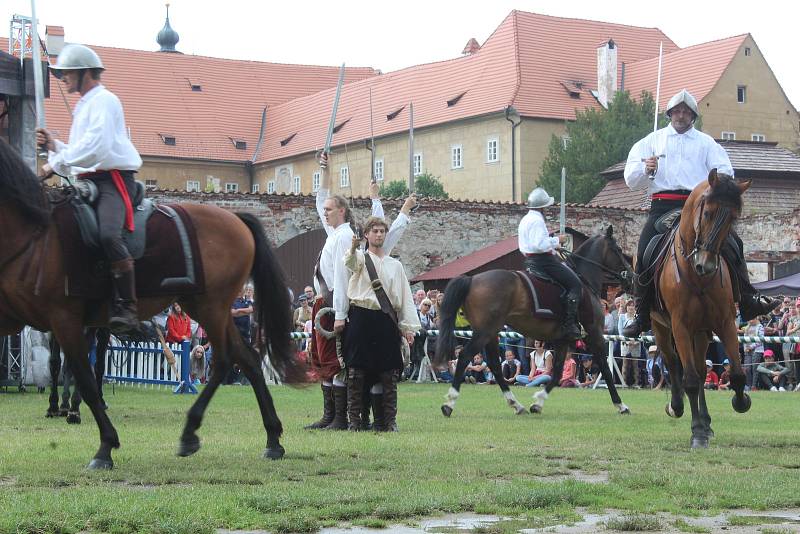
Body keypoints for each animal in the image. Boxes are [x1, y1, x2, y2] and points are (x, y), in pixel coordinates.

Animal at [0, 140, 300, 472]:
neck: (35, 236)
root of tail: (236, 220)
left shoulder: (66, 320)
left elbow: (86, 378)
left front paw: (104, 445)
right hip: (211, 309)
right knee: (247, 358)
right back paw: (272, 439)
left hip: (210, 307)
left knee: (223, 360)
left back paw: (191, 432)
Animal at [434, 226, 636, 418]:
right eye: (618, 250)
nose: (632, 277)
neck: (584, 280)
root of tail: (472, 279)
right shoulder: (594, 335)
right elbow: (606, 370)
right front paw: (621, 405)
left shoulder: (562, 340)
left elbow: (556, 373)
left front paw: (538, 403)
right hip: (485, 332)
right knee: (464, 357)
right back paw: (449, 403)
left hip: (490, 333)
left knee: (495, 366)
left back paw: (516, 405)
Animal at [648, 170, 752, 450]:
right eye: (707, 213)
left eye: (733, 218)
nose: (705, 265)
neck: (698, 279)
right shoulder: (680, 326)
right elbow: (691, 380)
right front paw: (696, 433)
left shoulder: (725, 323)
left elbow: (736, 374)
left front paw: (741, 401)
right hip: (662, 328)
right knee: (673, 363)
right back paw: (677, 407)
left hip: (702, 332)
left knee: (701, 368)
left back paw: (706, 421)